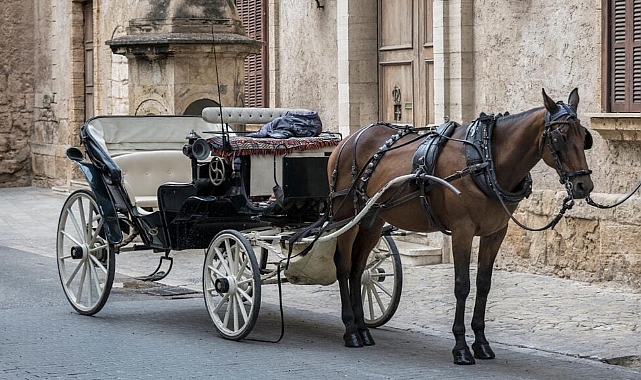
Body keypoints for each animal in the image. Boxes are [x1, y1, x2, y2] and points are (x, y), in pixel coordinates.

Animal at [324, 89, 596, 366]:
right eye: (560, 137)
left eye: (585, 136)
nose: (584, 185)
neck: (485, 160)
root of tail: (348, 140)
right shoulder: (462, 231)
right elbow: (462, 285)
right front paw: (461, 347)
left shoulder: (495, 233)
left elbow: (483, 284)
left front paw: (482, 343)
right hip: (345, 215)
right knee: (344, 267)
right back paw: (351, 330)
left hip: (372, 220)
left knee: (359, 269)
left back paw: (362, 329)